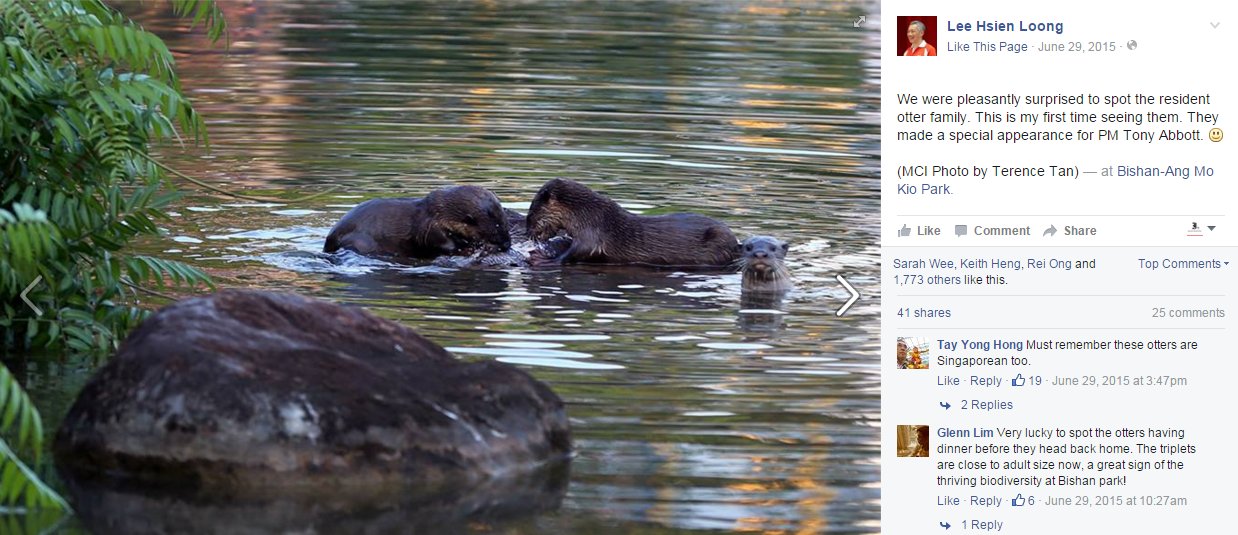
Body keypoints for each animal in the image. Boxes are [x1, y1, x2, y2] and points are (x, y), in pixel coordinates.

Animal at [323, 185, 511, 259]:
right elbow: (442, 245)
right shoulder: (430, 228)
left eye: (505, 224)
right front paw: (467, 247)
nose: (507, 243)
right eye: (496, 229)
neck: (440, 214)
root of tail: (330, 239)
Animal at [525, 178, 739, 266]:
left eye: (532, 212)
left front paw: (544, 259)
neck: (587, 214)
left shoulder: (593, 233)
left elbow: (579, 251)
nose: (528, 232)